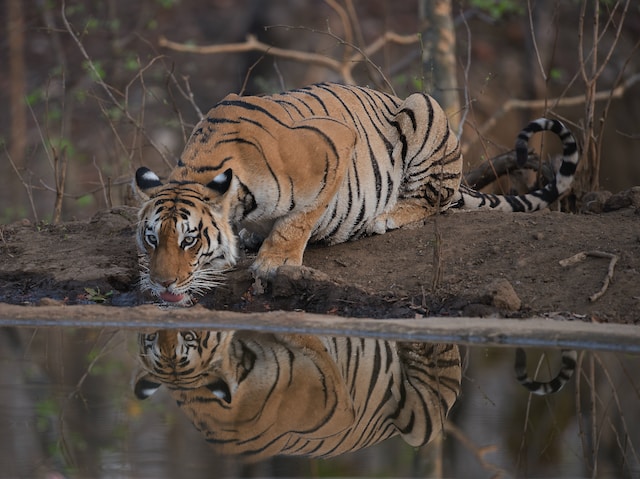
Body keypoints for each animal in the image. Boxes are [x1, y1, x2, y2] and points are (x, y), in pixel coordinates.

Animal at [132, 82, 576, 304]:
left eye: (190, 241)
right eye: (152, 239)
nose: (162, 284)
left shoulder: (334, 144)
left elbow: (300, 219)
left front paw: (275, 261)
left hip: (423, 109)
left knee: (435, 198)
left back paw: (387, 216)